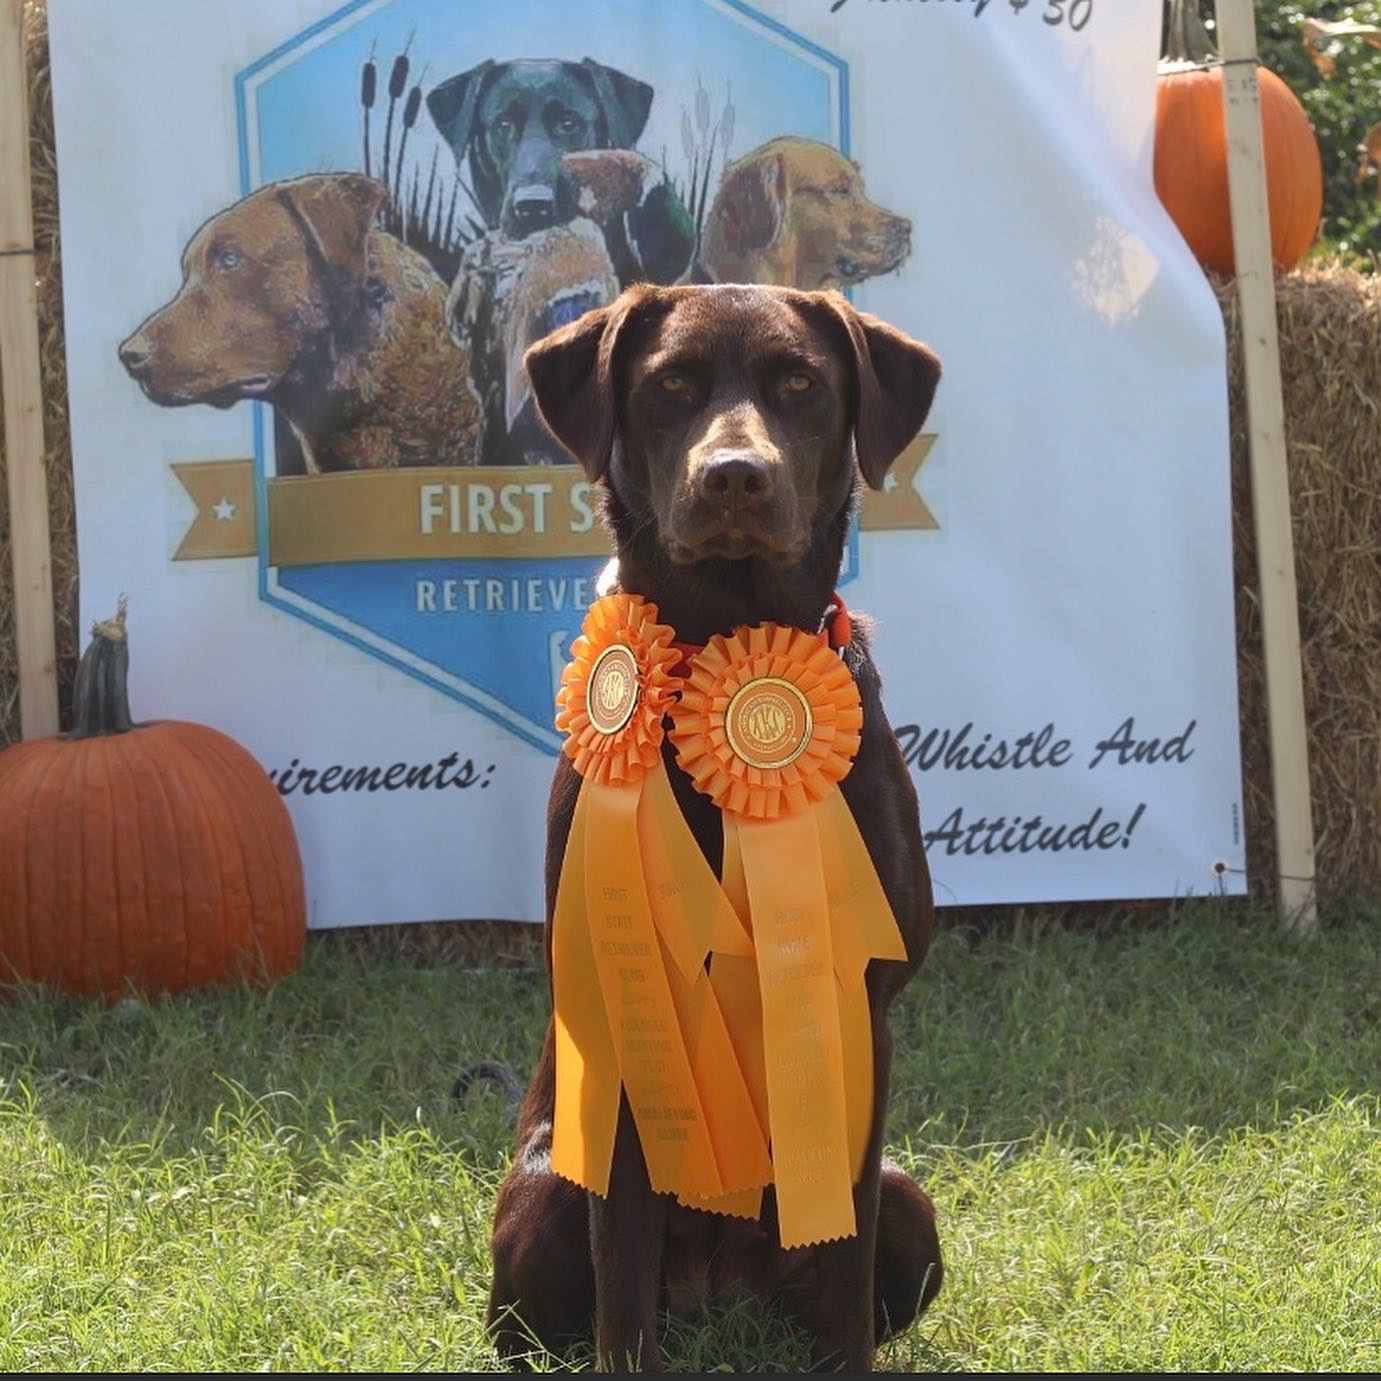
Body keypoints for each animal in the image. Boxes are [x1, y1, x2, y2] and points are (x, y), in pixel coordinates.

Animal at [483, 283, 939, 1369]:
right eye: (672, 383)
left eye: (800, 382)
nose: (735, 475)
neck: (728, 646)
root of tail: (718, 1291)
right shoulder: (625, 1011)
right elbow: (622, 1283)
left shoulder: (861, 1007)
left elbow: (843, 1261)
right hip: (542, 1192)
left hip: (911, 1194)